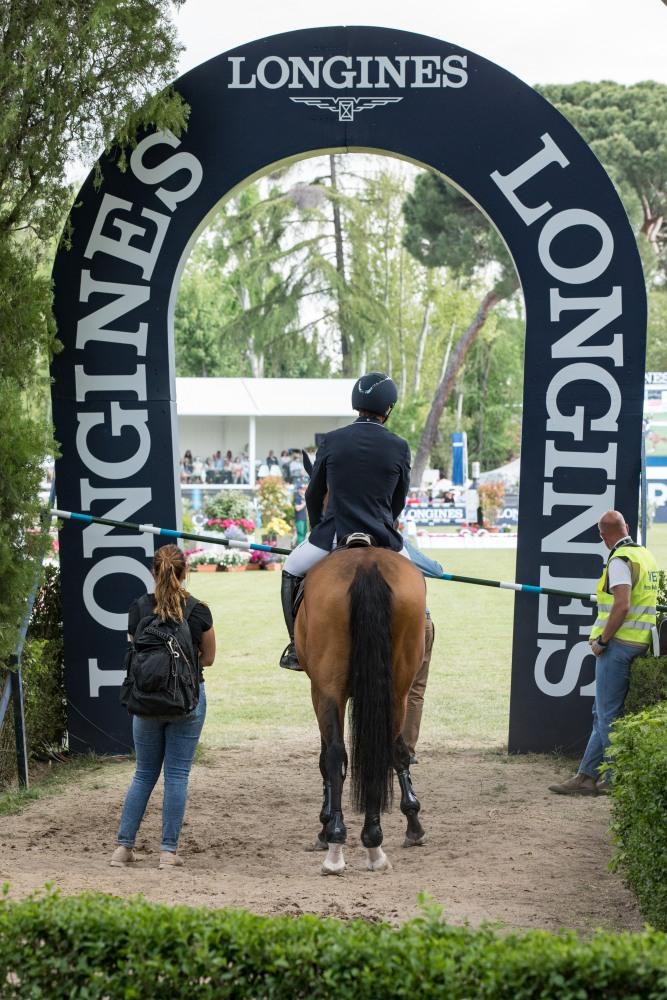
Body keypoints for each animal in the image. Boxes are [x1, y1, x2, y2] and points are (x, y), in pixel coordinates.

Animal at [294, 540, 428, 876]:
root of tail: (366, 564)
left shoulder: (318, 691)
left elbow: (326, 759)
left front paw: (325, 826)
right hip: (397, 689)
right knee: (388, 751)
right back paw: (382, 839)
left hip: (328, 686)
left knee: (335, 756)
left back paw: (336, 844)